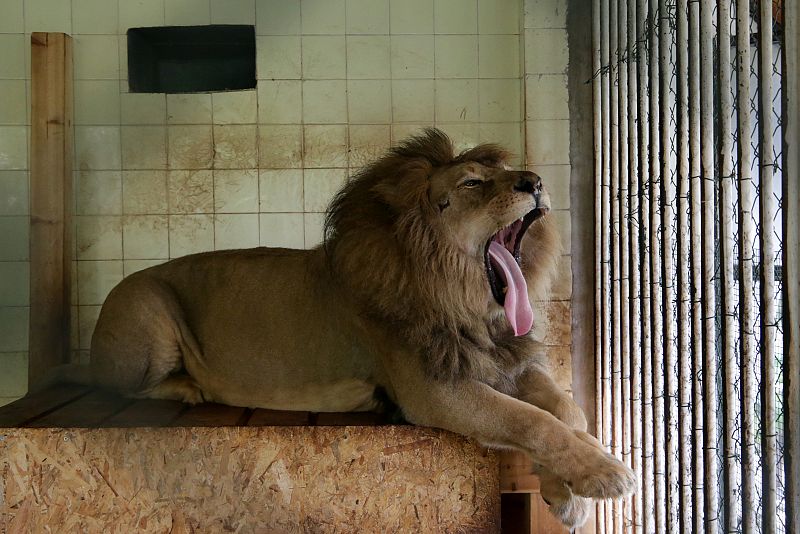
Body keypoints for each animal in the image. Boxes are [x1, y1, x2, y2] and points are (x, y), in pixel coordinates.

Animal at [53, 129, 636, 528]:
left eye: (511, 171)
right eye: (473, 182)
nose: (534, 182)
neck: (464, 303)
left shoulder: (502, 361)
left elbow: (567, 411)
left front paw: (568, 494)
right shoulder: (434, 390)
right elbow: (531, 421)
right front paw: (608, 476)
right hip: (147, 302)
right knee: (118, 383)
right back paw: (188, 388)